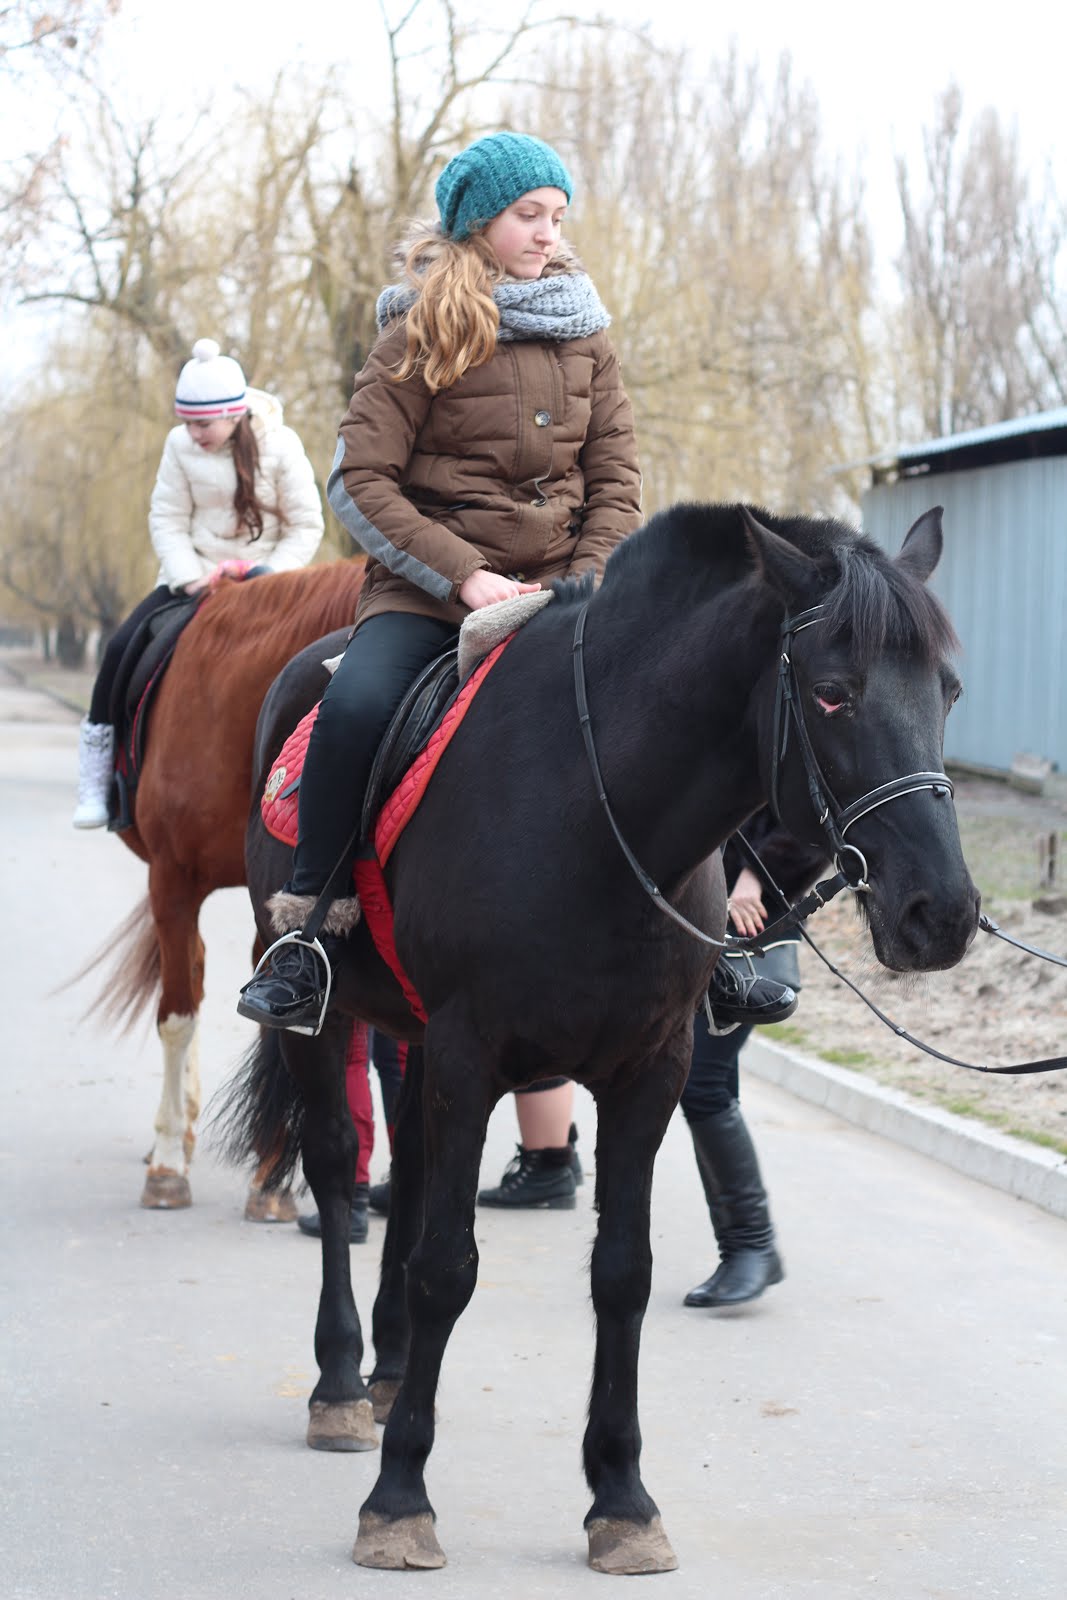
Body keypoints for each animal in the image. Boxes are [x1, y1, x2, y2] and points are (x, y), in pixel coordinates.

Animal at [80, 556, 367, 1203]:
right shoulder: (172, 882)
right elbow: (178, 1014)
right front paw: (167, 1165)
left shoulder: (279, 908)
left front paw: (270, 1179)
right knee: (187, 976)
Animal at [220, 502, 979, 1574]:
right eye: (832, 693)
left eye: (947, 690)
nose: (939, 914)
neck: (592, 804)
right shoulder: (471, 1056)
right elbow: (449, 1267)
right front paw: (400, 1498)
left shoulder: (647, 1072)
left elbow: (621, 1273)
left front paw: (620, 1498)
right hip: (319, 1012)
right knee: (334, 1168)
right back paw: (338, 1386)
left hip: (420, 1042)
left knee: (407, 1172)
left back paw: (392, 1367)